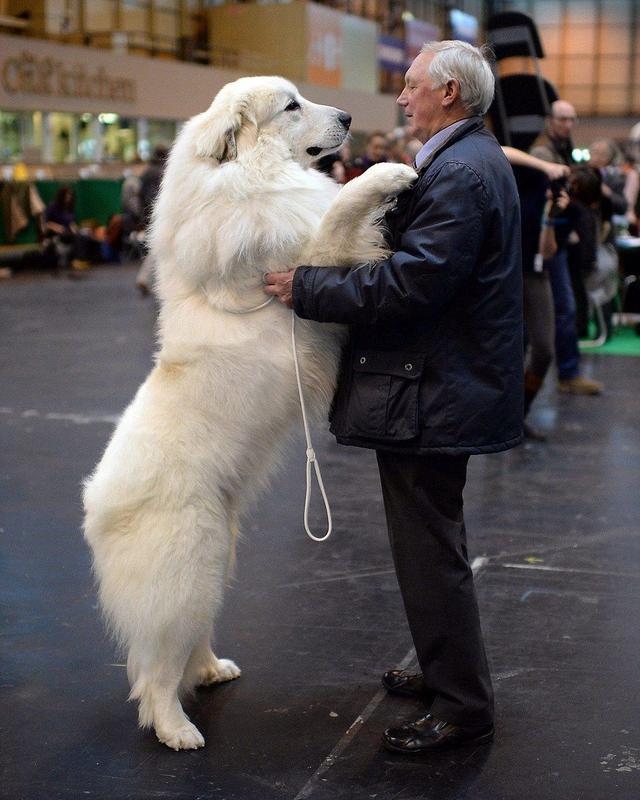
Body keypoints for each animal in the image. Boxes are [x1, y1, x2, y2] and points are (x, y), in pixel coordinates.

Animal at [82, 73, 418, 752]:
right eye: (291, 106)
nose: (349, 118)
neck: (247, 178)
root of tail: (94, 508)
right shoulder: (307, 259)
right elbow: (341, 207)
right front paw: (392, 172)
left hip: (217, 560)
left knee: (187, 643)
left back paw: (212, 671)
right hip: (186, 570)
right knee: (155, 672)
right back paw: (176, 730)